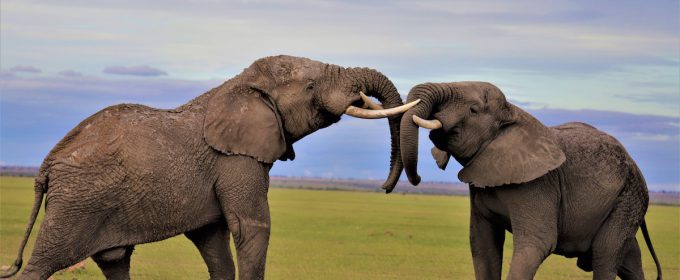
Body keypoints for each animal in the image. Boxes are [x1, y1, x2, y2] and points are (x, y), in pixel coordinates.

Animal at [0, 55, 418, 280]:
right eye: (312, 86)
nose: (387, 186)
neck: (240, 84)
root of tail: (47, 164)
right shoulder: (236, 161)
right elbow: (251, 227)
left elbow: (213, 241)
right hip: (77, 203)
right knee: (45, 264)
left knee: (114, 260)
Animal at [398, 81, 660, 280]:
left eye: (473, 109)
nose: (417, 178)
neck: (513, 113)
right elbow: (483, 245)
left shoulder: (539, 185)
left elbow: (537, 244)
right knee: (629, 261)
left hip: (629, 198)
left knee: (606, 255)